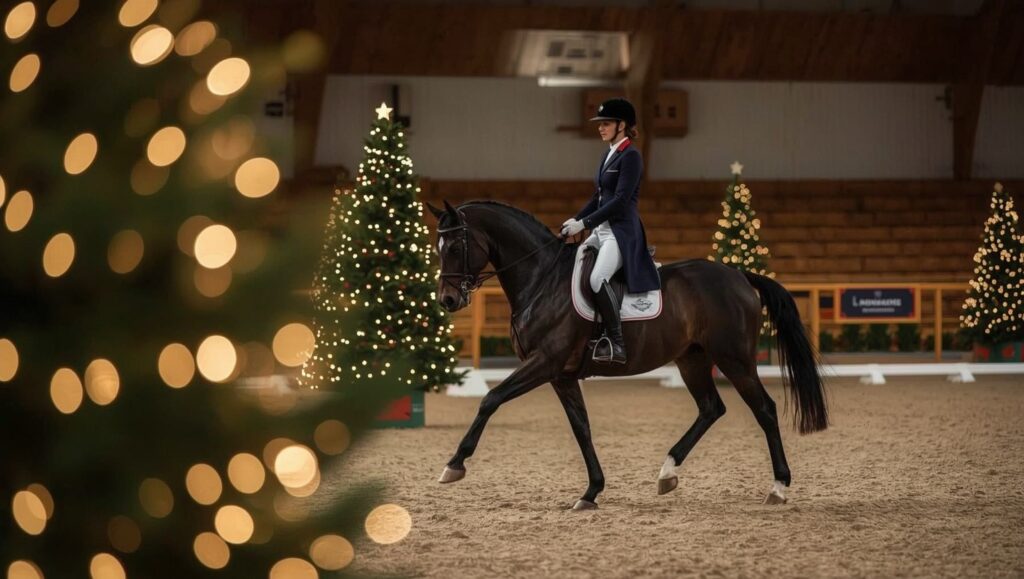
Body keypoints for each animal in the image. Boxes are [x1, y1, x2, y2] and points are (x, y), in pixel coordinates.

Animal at [426, 199, 828, 510]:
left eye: (455, 247)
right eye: (437, 246)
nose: (448, 300)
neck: (542, 280)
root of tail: (740, 275)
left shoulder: (544, 363)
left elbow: (490, 399)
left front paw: (454, 465)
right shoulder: (562, 375)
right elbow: (582, 428)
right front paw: (591, 492)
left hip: (735, 360)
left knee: (764, 410)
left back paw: (778, 487)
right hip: (692, 359)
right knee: (711, 407)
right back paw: (667, 473)